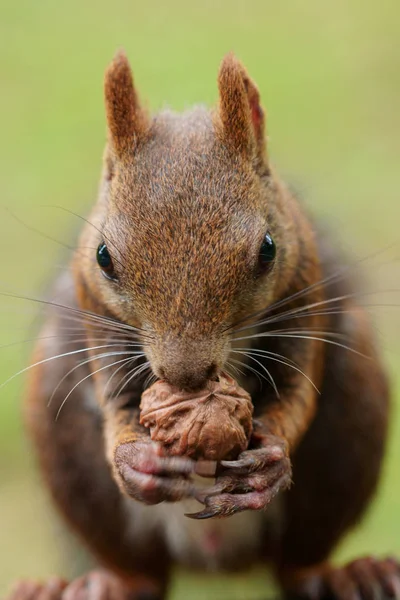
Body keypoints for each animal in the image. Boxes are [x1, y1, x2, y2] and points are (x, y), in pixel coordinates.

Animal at [6, 51, 396, 600]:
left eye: (268, 249)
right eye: (103, 256)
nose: (186, 376)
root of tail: (215, 555)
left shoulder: (306, 288)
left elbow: (299, 390)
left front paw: (272, 458)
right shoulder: (94, 310)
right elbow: (115, 403)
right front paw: (133, 459)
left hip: (351, 420)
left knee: (298, 563)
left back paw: (347, 573)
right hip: (59, 420)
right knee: (142, 573)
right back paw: (107, 582)